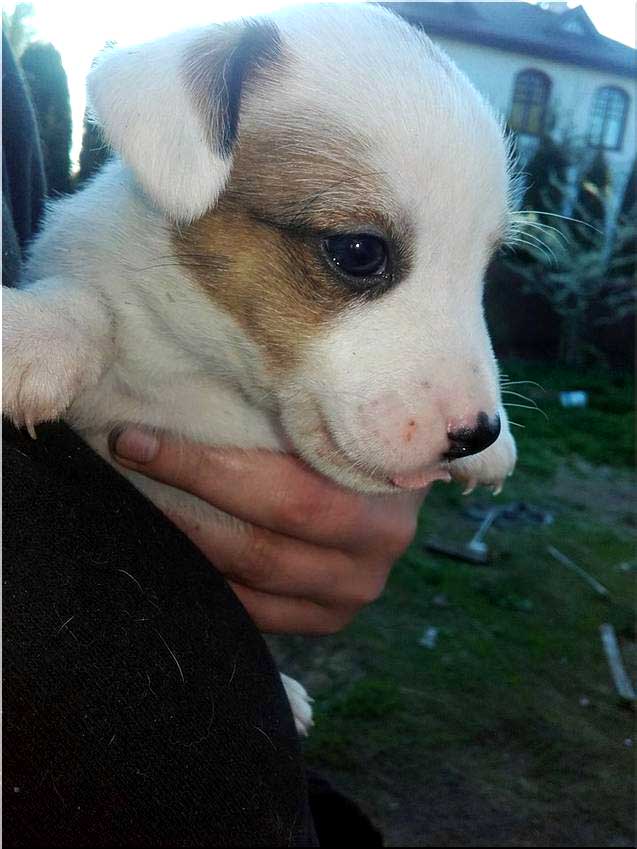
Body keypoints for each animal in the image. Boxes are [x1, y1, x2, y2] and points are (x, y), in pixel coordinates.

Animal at [3, 3, 517, 733]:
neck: (216, 376)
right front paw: (33, 335)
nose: (476, 431)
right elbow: (87, 303)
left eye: (486, 264)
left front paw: (499, 448)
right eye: (357, 251)